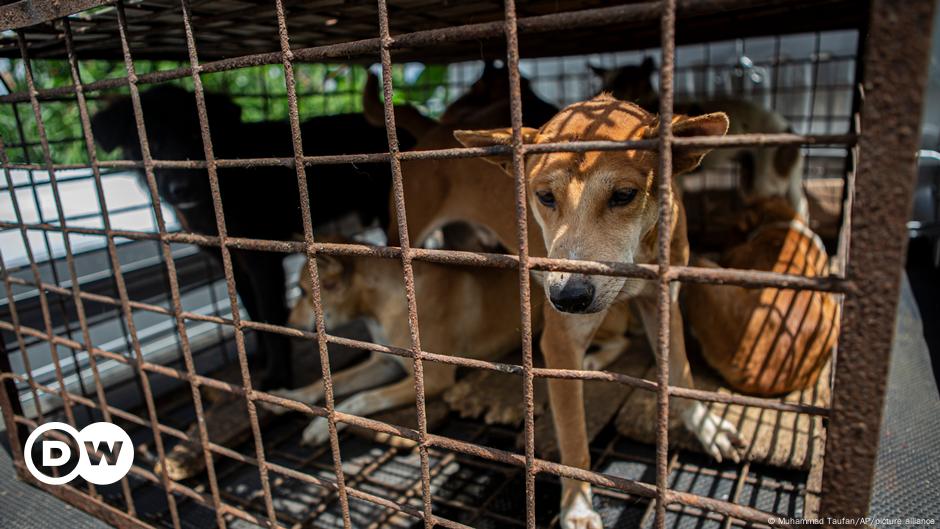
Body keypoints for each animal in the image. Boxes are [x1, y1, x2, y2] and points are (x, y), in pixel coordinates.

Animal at [92, 84, 414, 386]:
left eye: (196, 137)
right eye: (153, 143)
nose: (180, 189)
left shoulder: (262, 261)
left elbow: (271, 316)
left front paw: (277, 375)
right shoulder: (231, 260)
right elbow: (252, 310)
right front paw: (259, 356)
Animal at [458, 95, 744, 528]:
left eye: (624, 194)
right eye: (545, 197)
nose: (567, 297)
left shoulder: (663, 302)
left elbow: (680, 373)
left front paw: (706, 426)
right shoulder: (559, 341)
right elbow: (574, 434)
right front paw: (577, 504)